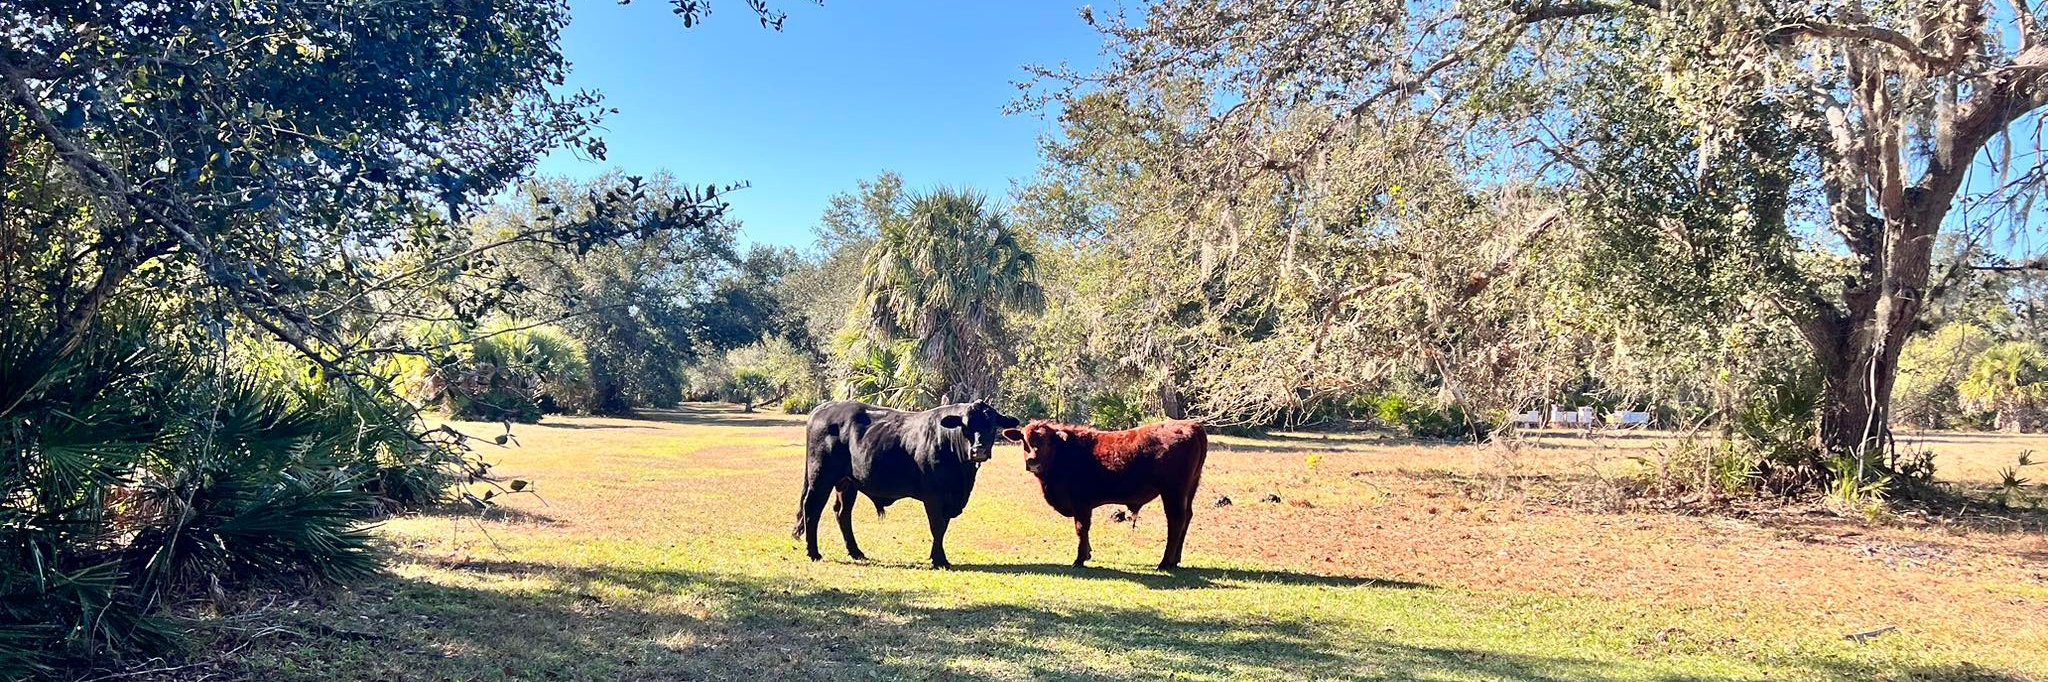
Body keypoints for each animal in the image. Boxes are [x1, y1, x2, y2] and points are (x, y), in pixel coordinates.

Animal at [795, 399, 1021, 568]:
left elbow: (943, 527)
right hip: (820, 477)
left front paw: (937, 556)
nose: (978, 450)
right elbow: (937, 526)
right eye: (966, 425)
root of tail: (824, 407)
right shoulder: (934, 496)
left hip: (848, 483)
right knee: (812, 508)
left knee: (842, 513)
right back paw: (814, 553)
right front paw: (939, 559)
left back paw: (856, 551)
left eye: (991, 425)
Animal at [1000, 419, 1208, 570]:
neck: (1065, 453)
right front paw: (1087, 553)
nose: (1032, 461)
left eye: (1046, 441)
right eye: (1024, 440)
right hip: (1190, 488)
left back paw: (1165, 562)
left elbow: (1081, 528)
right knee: (1187, 517)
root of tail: (1191, 425)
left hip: (1173, 492)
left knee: (1176, 520)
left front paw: (1080, 558)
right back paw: (1176, 559)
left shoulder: (1081, 503)